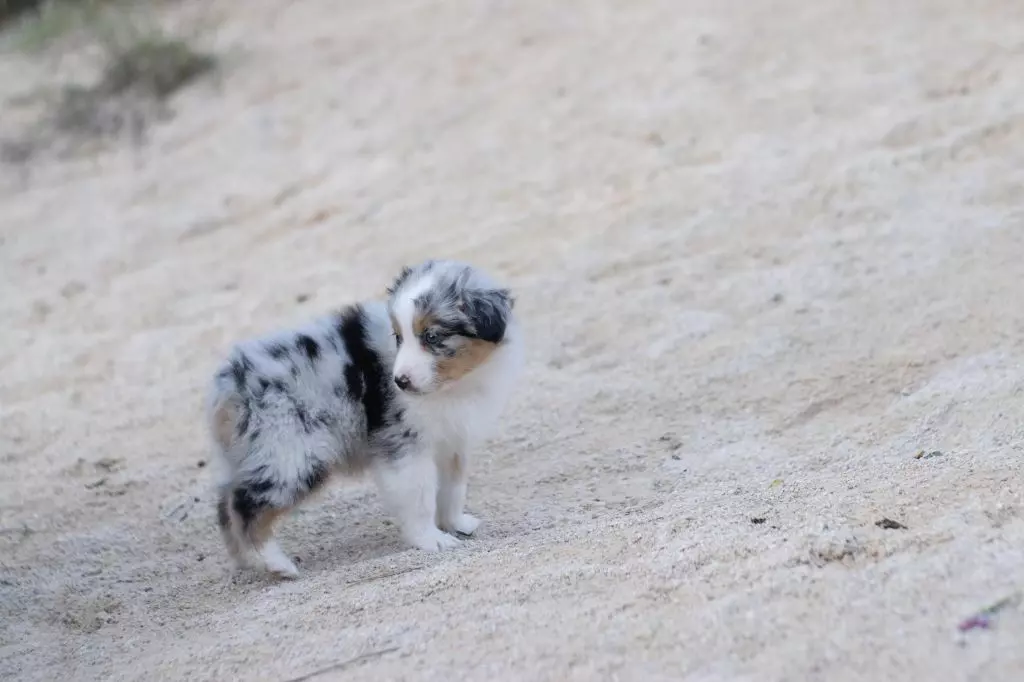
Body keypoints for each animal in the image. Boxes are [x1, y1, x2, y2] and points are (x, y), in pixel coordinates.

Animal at [205, 259, 520, 573]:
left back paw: (247, 563)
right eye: (398, 337)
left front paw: (456, 524)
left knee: (225, 505)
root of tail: (229, 386)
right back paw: (276, 563)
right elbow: (420, 497)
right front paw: (431, 539)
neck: (452, 387)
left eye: (432, 337)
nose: (400, 382)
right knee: (245, 506)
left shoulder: (452, 442)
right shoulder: (404, 446)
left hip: (256, 456)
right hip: (293, 456)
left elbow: (453, 489)